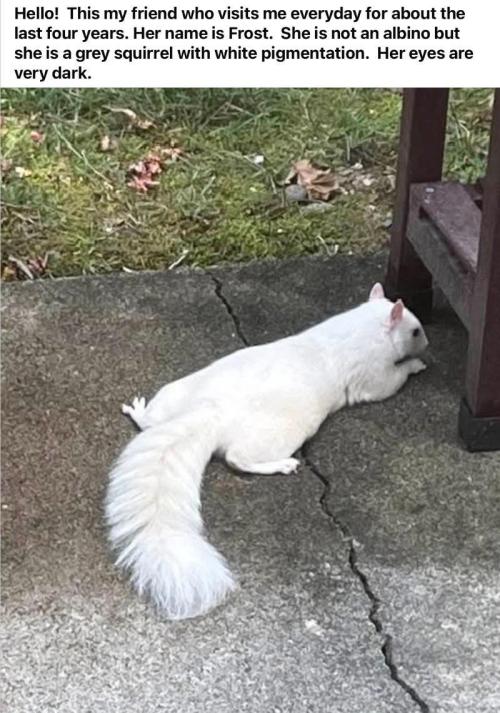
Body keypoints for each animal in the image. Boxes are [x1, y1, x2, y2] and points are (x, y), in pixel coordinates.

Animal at [105, 283, 428, 620]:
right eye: (415, 330)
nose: (428, 342)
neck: (365, 325)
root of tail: (210, 412)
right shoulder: (374, 373)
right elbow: (390, 382)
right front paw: (416, 365)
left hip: (174, 393)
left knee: (151, 422)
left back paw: (139, 412)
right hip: (273, 435)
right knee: (238, 458)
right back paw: (281, 465)